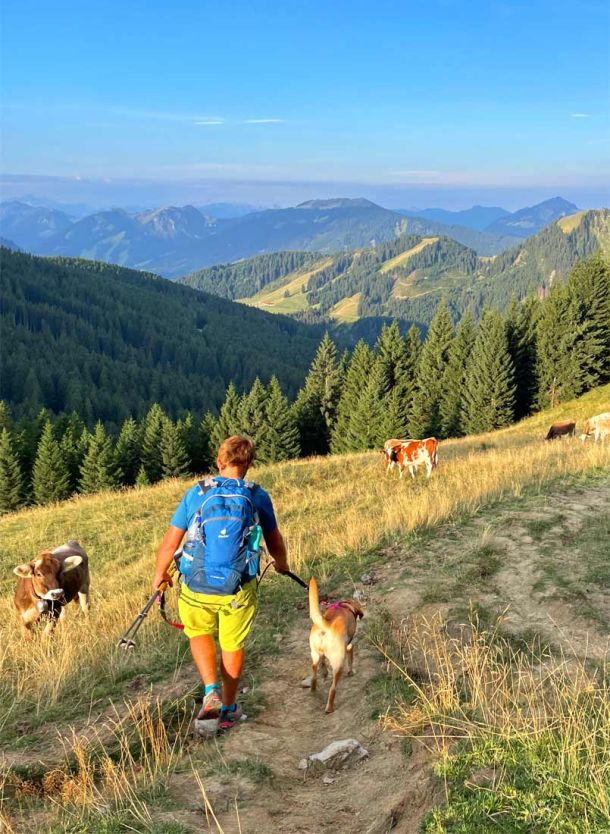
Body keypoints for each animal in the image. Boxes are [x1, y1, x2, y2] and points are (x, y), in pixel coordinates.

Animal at [308, 577, 364, 713]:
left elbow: (323, 662)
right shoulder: (349, 646)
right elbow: (351, 659)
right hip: (338, 664)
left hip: (314, 656)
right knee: (332, 689)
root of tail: (325, 626)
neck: (346, 606)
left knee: (314, 675)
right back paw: (329, 708)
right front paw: (351, 671)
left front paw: (324, 671)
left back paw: (314, 689)